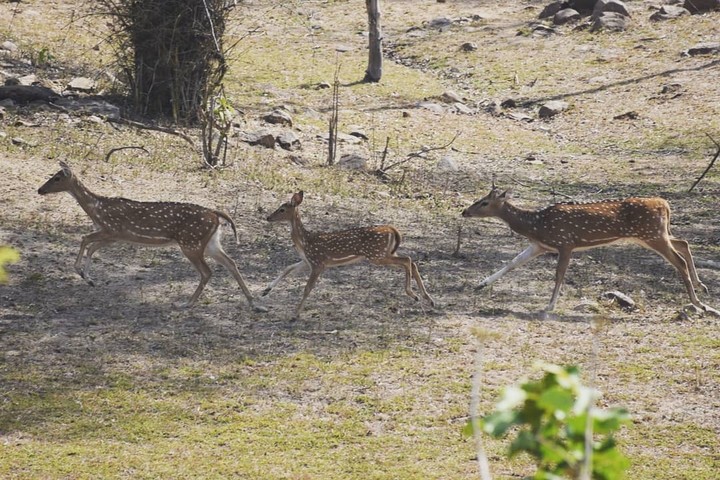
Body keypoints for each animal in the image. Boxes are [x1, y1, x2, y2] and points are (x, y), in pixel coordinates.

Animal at [37, 161, 263, 310]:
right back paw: (255, 303)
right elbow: (91, 246)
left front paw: (83, 274)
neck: (96, 209)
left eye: (57, 178)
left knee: (207, 271)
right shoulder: (114, 236)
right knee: (231, 262)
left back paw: (186, 303)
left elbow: (85, 239)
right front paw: (89, 278)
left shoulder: (112, 229)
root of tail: (215, 214)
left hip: (190, 242)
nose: (40, 190)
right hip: (210, 242)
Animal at [262, 191, 435, 319]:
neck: (305, 242)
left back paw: (414, 295)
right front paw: (266, 290)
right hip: (384, 253)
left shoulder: (318, 262)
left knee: (407, 260)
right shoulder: (307, 261)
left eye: (282, 209)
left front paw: (295, 314)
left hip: (376, 255)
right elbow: (287, 268)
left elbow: (307, 288)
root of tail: (392, 229)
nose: (268, 217)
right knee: (411, 262)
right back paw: (427, 299)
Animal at [462, 184, 718, 316]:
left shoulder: (566, 243)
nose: (465, 211)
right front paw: (480, 284)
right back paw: (702, 287)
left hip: (652, 235)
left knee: (679, 260)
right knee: (684, 243)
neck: (537, 225)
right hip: (654, 234)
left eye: (484, 202)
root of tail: (664, 204)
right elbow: (512, 262)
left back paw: (698, 303)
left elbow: (559, 274)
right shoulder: (541, 245)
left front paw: (550, 306)